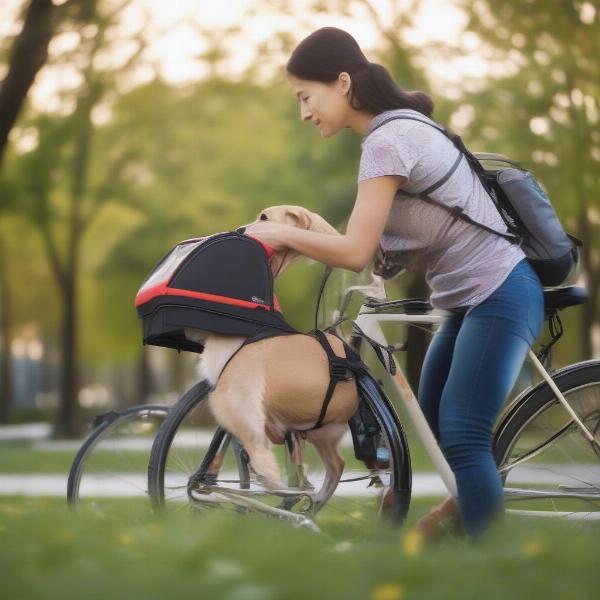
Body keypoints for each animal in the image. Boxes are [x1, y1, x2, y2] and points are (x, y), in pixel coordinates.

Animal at [185, 206, 358, 510]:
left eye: (264, 217)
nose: (240, 230)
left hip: (241, 408)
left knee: (260, 451)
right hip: (317, 435)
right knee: (334, 464)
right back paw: (306, 498)